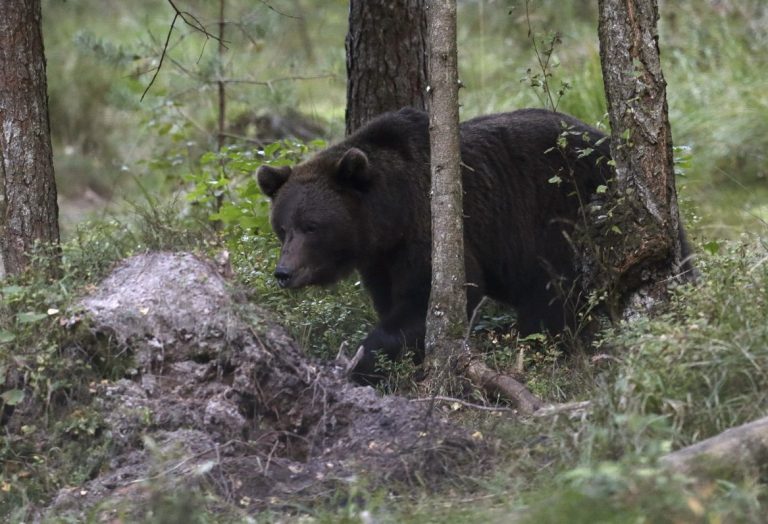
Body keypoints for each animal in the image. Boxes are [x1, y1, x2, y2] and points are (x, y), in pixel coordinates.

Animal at [257, 107, 616, 382]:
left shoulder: (430, 233)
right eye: (283, 228)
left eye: (312, 226)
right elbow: (390, 300)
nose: (284, 272)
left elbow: (430, 298)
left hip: (562, 216)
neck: (391, 216)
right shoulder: (380, 261)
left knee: (551, 294)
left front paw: (363, 361)